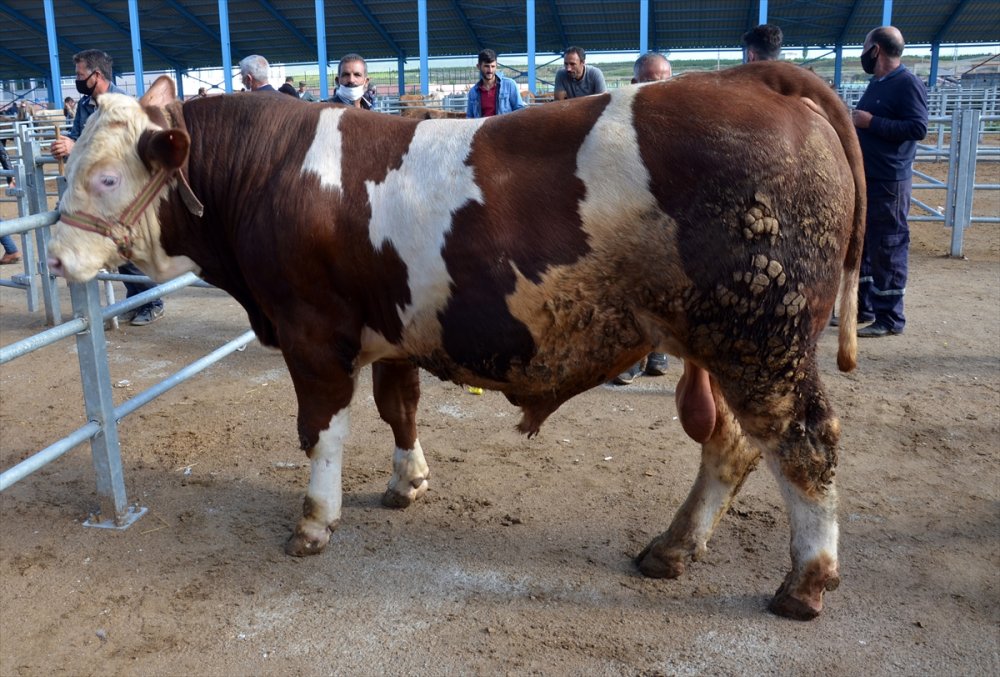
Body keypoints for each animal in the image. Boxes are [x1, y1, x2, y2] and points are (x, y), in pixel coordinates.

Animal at [45, 63, 868, 616]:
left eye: (107, 178)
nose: (52, 256)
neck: (270, 175)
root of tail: (752, 80)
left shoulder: (312, 333)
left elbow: (320, 428)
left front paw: (313, 522)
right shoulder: (390, 329)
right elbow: (398, 406)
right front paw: (406, 482)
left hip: (761, 340)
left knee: (805, 443)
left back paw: (805, 581)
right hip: (725, 342)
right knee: (731, 444)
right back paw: (671, 548)